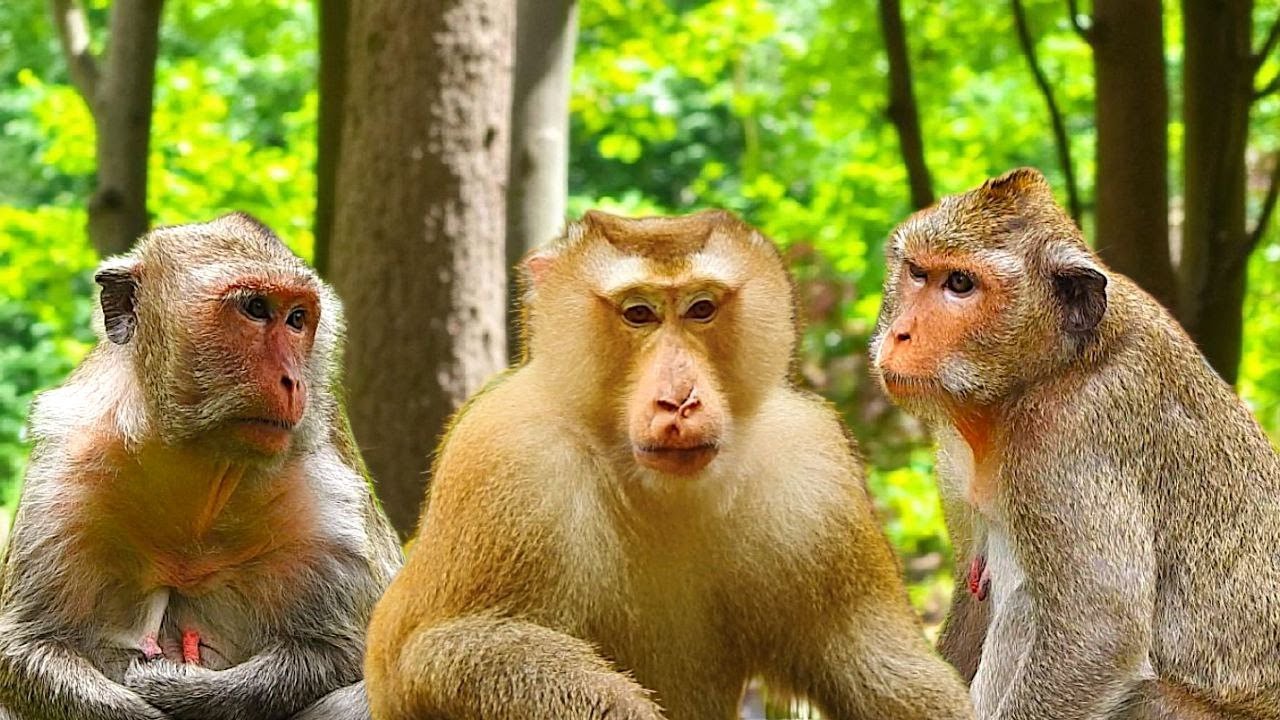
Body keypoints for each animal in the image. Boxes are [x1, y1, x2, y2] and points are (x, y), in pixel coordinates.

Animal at [0, 213, 403, 720]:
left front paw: (185, 692)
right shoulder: (66, 471)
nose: (293, 380)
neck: (202, 469)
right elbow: (27, 646)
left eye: (297, 319)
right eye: (255, 308)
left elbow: (350, 650)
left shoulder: (329, 497)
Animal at [363, 209, 975, 720]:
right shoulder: (509, 460)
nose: (678, 400)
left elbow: (878, 665)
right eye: (639, 313)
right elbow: (440, 651)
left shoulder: (813, 472)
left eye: (701, 309)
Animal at [871, 167, 1280, 719]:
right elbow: (974, 601)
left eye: (959, 284)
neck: (1050, 368)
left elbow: (1099, 631)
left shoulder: (1072, 437)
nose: (901, 334)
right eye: (917, 273)